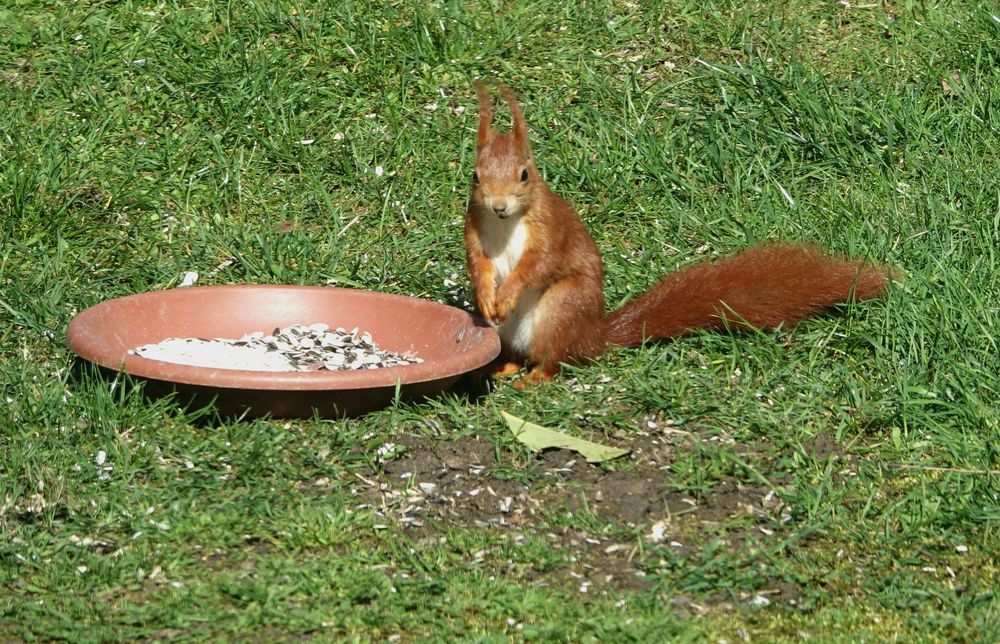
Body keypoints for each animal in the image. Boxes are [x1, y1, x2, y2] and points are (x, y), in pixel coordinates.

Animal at [464, 82, 896, 384]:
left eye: (525, 175)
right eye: (476, 176)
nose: (499, 206)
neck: (504, 224)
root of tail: (593, 336)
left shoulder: (550, 230)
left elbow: (540, 264)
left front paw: (508, 290)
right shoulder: (474, 226)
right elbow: (478, 262)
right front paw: (488, 293)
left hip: (561, 310)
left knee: (557, 359)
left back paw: (536, 376)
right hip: (506, 331)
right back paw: (505, 367)